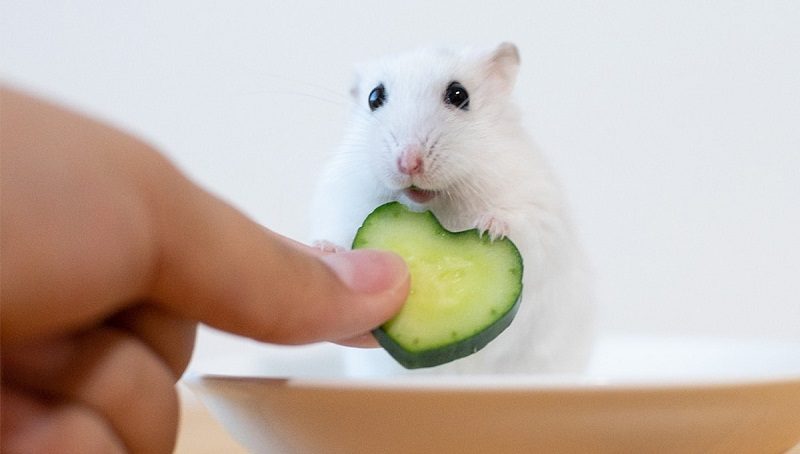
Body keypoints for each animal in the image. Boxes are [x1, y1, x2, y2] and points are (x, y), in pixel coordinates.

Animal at [310, 42, 592, 374]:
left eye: (459, 95)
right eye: (374, 97)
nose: (409, 163)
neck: (437, 203)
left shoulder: (539, 218)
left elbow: (517, 223)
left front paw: (490, 228)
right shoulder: (341, 204)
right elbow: (337, 234)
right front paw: (325, 249)